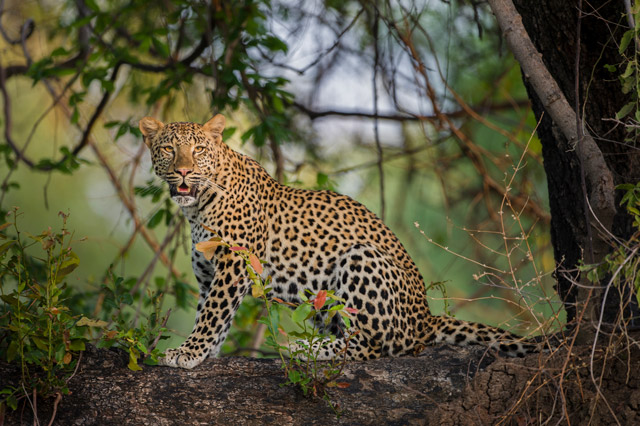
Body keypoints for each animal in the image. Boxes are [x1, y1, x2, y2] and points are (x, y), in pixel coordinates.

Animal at [138, 114, 537, 369]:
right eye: (169, 149)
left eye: (199, 150)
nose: (185, 170)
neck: (198, 206)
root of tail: (425, 317)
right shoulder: (209, 274)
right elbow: (212, 315)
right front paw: (205, 353)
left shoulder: (234, 265)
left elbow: (212, 314)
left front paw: (189, 352)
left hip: (360, 259)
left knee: (372, 346)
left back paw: (308, 350)